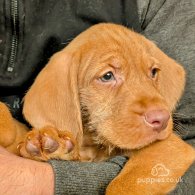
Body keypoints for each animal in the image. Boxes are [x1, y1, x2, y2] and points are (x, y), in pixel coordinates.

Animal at [0, 23, 195, 195]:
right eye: (107, 76)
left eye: (153, 72)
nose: (162, 119)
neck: (93, 145)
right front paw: (45, 142)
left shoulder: (170, 147)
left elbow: (123, 186)